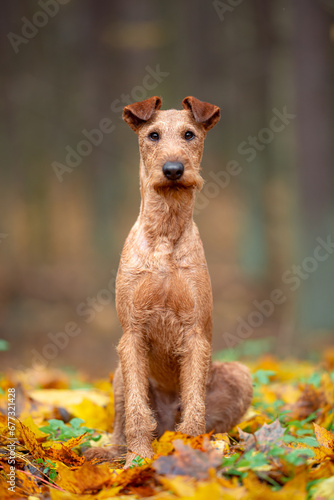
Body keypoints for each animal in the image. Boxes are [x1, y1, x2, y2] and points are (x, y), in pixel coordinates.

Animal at [86, 95, 253, 466]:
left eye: (190, 134)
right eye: (153, 135)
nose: (173, 169)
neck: (165, 232)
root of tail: (164, 428)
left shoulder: (194, 334)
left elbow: (194, 407)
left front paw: (190, 455)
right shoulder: (132, 334)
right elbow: (136, 413)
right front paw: (137, 460)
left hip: (239, 375)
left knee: (213, 425)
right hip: (118, 375)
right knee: (123, 425)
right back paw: (109, 452)